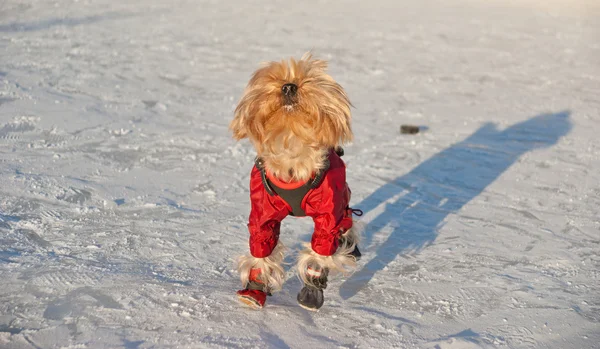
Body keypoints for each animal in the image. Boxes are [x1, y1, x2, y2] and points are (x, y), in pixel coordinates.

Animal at [230, 52, 360, 310]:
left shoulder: (328, 213)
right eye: (273, 77)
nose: (289, 86)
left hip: (341, 198)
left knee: (347, 220)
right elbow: (261, 247)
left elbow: (322, 249)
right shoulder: (262, 213)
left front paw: (312, 290)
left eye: (308, 79)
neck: (291, 142)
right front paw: (255, 289)